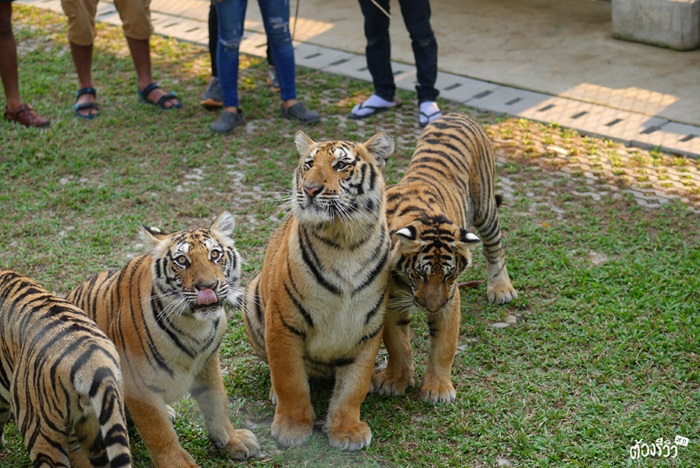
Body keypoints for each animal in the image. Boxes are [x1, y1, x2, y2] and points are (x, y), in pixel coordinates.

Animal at [66, 213, 260, 468]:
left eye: (215, 255)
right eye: (182, 260)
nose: (208, 287)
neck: (194, 325)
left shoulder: (208, 363)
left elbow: (218, 402)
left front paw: (232, 440)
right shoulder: (138, 383)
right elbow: (159, 431)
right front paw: (179, 464)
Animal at [241, 130, 394, 452]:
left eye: (341, 165)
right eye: (308, 164)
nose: (310, 190)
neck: (345, 242)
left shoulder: (367, 330)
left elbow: (354, 386)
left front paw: (347, 430)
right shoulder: (284, 324)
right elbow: (290, 380)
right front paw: (292, 427)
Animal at [372, 112, 516, 402]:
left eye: (450, 276)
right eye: (418, 275)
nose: (432, 308)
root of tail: (457, 114)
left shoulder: (451, 299)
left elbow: (444, 346)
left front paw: (438, 391)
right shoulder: (392, 299)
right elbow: (397, 344)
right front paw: (394, 381)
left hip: (484, 206)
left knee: (494, 247)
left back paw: (501, 289)